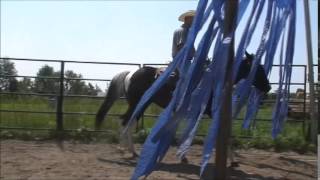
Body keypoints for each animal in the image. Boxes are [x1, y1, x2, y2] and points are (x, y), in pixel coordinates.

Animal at [94, 52, 270, 161]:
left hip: (141, 105)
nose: (268, 87)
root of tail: (130, 73)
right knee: (125, 121)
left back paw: (128, 150)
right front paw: (232, 160)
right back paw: (125, 149)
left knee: (127, 122)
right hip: (137, 103)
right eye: (258, 68)